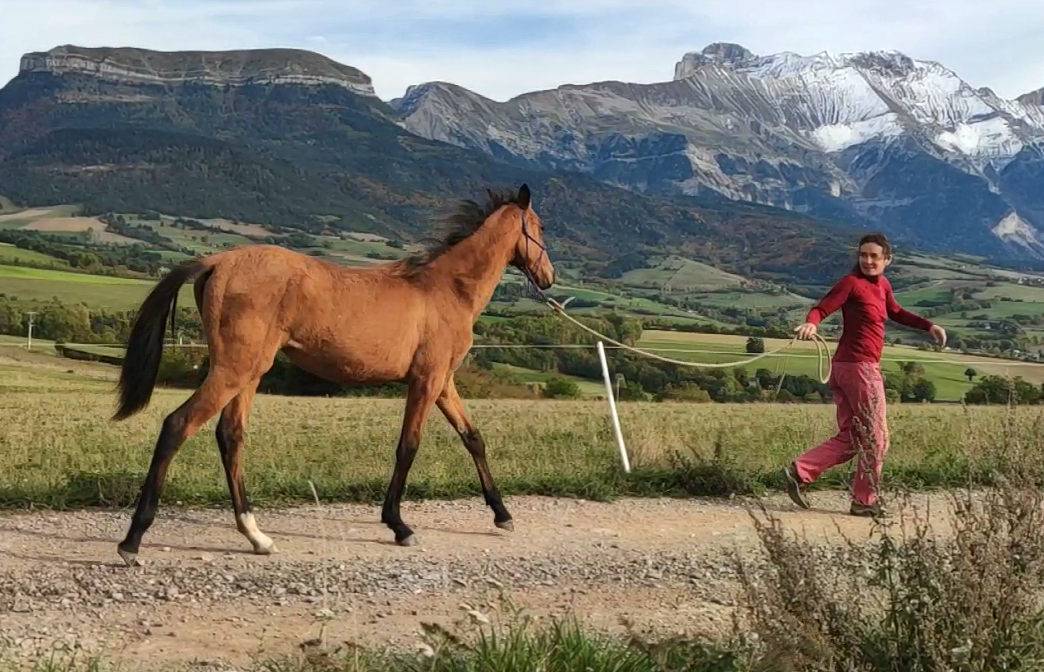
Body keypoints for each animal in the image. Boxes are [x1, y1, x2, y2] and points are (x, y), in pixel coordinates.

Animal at [111, 184, 554, 566]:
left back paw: (256, 536)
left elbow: (473, 438)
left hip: (249, 371)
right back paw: (132, 541)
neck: (446, 290)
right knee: (178, 425)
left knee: (230, 435)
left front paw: (502, 514)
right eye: (541, 227)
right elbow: (408, 446)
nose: (549, 278)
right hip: (234, 369)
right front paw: (399, 526)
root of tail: (217, 261)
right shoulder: (426, 381)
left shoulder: (443, 383)